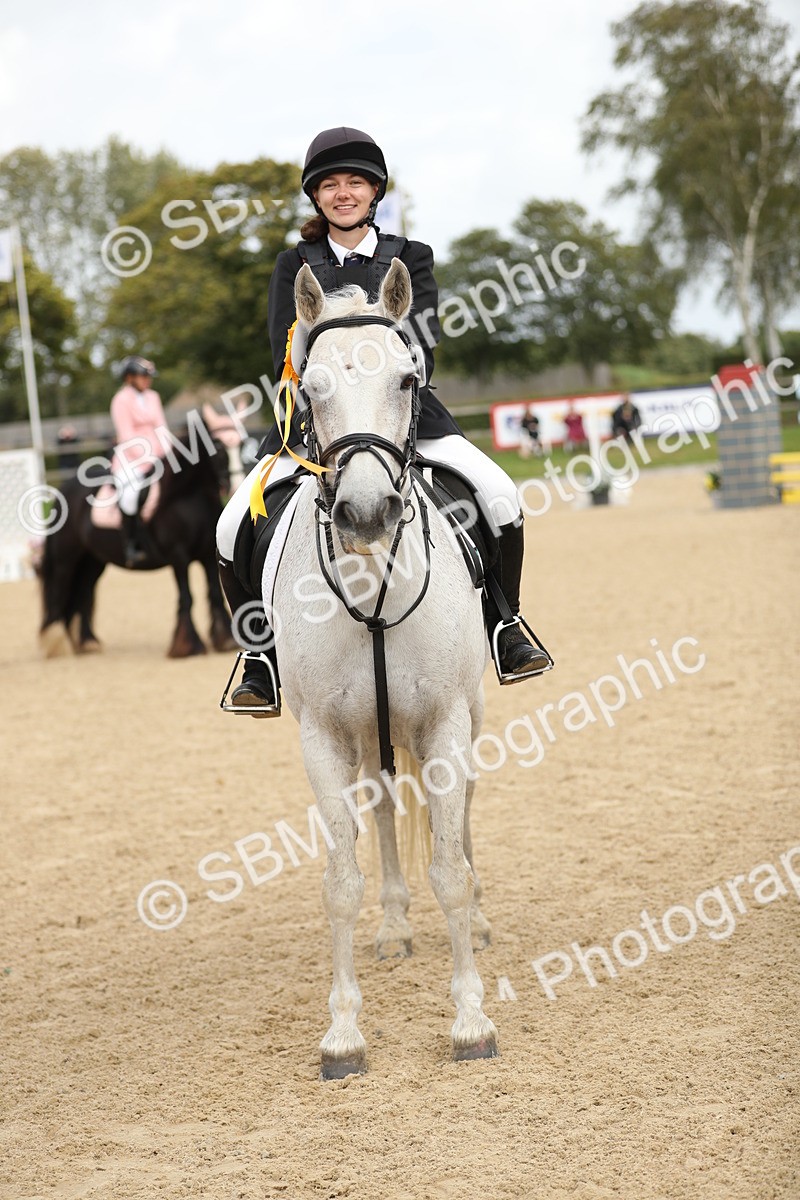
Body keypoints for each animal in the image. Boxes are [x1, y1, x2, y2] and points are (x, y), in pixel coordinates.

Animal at [39, 405, 243, 659]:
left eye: (242, 444)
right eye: (219, 448)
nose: (236, 486)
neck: (188, 497)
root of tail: (63, 491)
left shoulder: (206, 555)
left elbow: (214, 595)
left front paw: (225, 641)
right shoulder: (179, 557)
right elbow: (187, 597)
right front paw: (187, 646)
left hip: (93, 561)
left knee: (84, 595)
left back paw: (87, 643)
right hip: (66, 559)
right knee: (58, 593)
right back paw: (55, 645)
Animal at [269, 260, 497, 1078]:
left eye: (407, 377)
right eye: (309, 387)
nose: (367, 514)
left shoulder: (445, 719)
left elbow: (450, 870)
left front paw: (471, 1021)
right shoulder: (324, 737)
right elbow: (340, 881)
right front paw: (343, 1034)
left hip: (464, 716)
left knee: (461, 812)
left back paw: (478, 920)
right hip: (373, 732)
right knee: (384, 807)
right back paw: (395, 927)